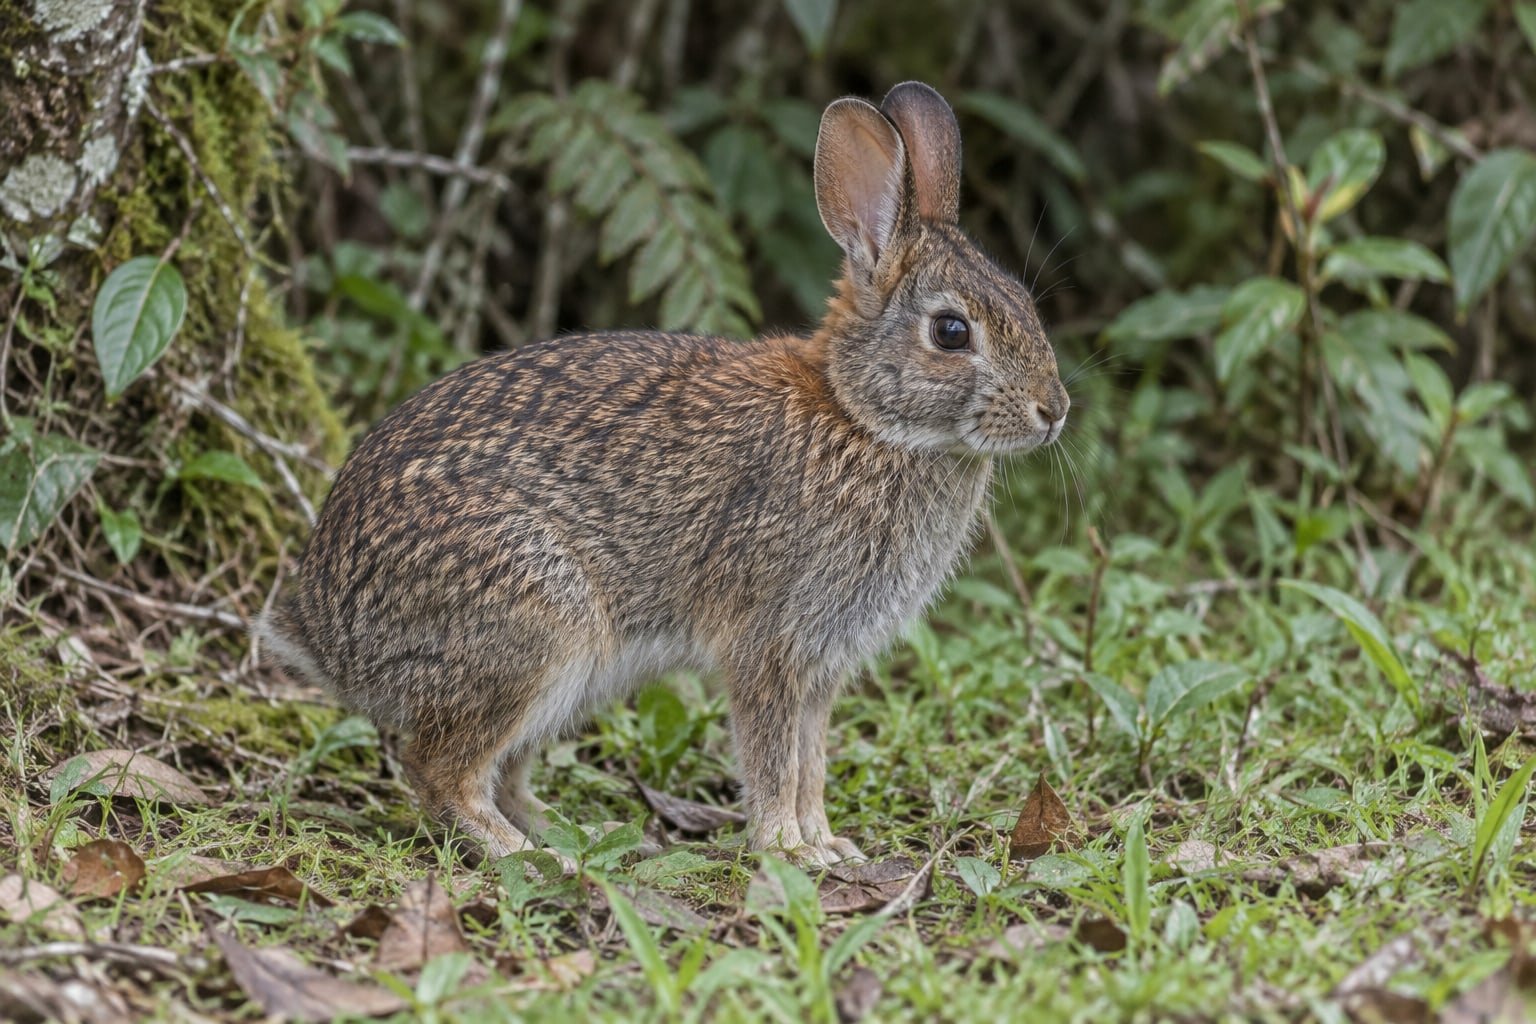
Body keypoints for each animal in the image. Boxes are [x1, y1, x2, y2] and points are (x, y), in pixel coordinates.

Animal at [257, 81, 1070, 869]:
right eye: (952, 331)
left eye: (1025, 303)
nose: (1053, 410)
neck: (860, 415)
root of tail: (328, 635)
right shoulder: (770, 642)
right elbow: (774, 757)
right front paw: (787, 847)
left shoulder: (822, 663)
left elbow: (810, 760)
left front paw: (827, 842)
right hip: (533, 623)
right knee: (438, 769)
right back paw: (521, 853)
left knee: (502, 769)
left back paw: (572, 835)